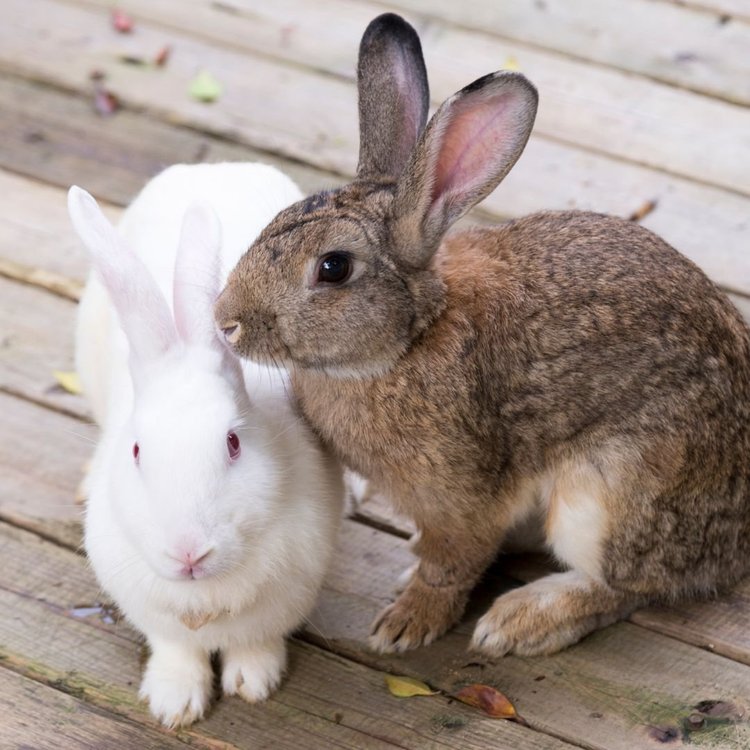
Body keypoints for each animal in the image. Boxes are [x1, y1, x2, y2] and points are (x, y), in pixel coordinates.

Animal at [68, 162, 344, 728]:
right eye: (135, 452)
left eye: (233, 442)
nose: (188, 552)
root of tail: (215, 167)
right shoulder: (154, 612)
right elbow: (178, 647)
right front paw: (175, 702)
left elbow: (257, 639)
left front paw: (254, 683)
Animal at [214, 11, 750, 660]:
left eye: (333, 268)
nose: (225, 320)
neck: (410, 338)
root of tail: (737, 538)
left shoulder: (461, 502)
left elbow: (452, 563)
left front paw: (406, 624)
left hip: (609, 492)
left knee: (626, 584)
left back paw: (522, 621)